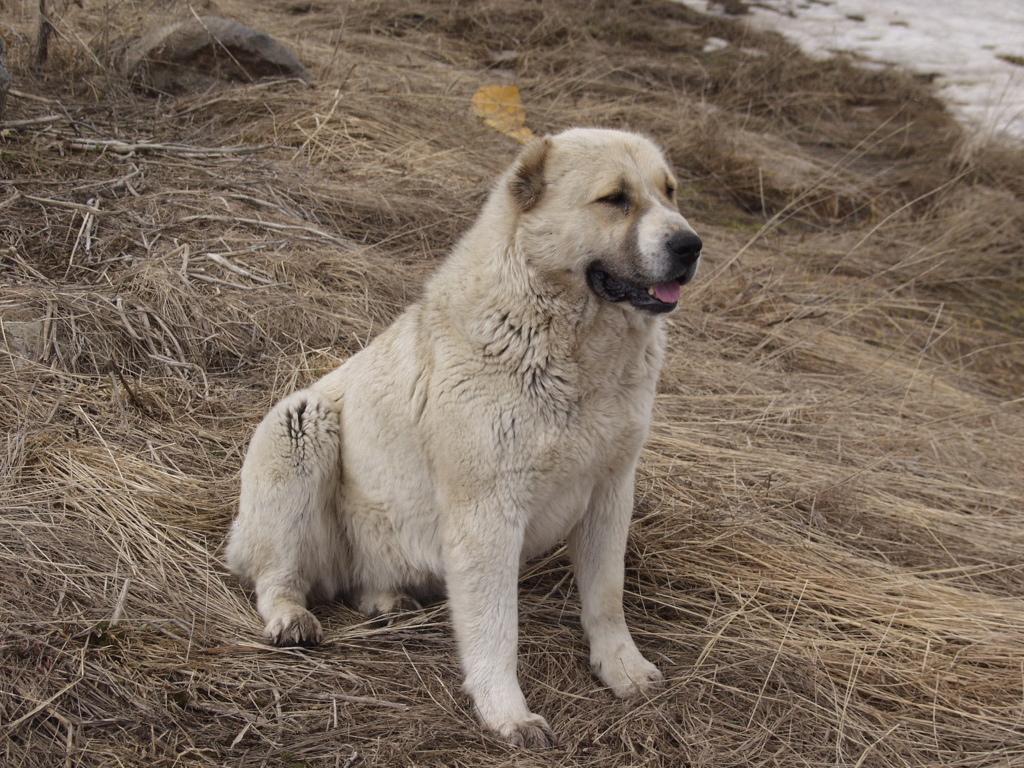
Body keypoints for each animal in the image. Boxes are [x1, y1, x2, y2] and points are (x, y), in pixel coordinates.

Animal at [227, 129, 700, 749]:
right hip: (298, 426)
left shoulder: (609, 491)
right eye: (615, 199)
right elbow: (496, 626)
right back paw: (290, 617)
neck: (565, 340)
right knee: (277, 570)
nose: (690, 245)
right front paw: (507, 713)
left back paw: (386, 600)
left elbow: (606, 596)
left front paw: (622, 669)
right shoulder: (488, 513)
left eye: (670, 192)